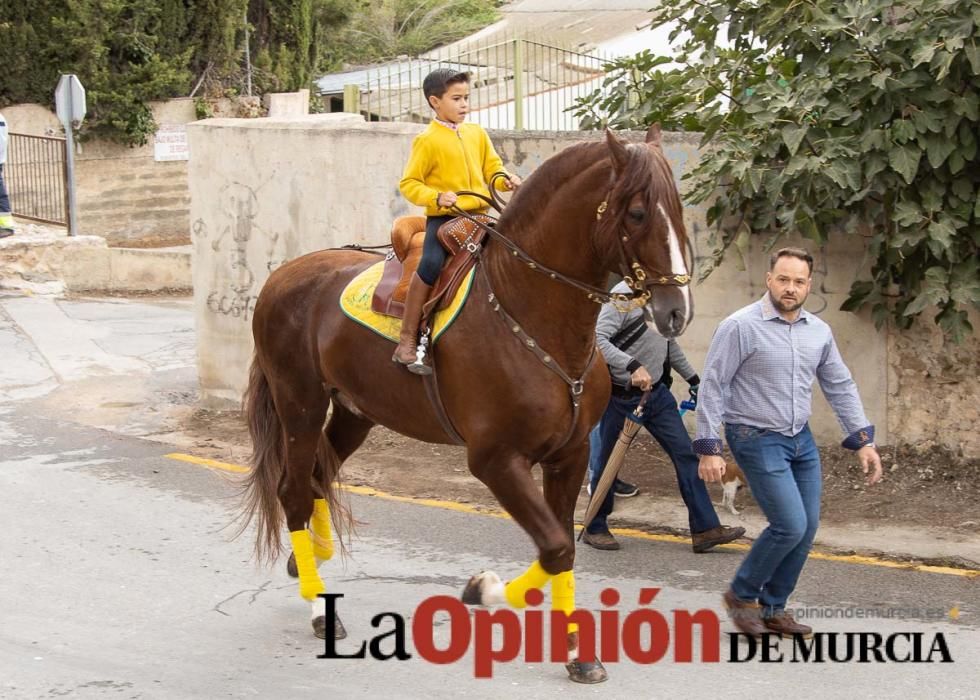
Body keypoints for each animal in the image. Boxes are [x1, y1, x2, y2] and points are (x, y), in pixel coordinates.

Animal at [241, 126, 692, 684]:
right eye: (637, 213)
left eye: (677, 207)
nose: (676, 311)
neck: (528, 312)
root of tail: (281, 277)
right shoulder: (495, 460)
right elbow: (555, 546)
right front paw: (483, 589)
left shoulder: (570, 456)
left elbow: (562, 550)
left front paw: (577, 652)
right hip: (299, 405)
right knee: (295, 491)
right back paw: (316, 604)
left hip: (353, 413)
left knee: (319, 477)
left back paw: (310, 562)